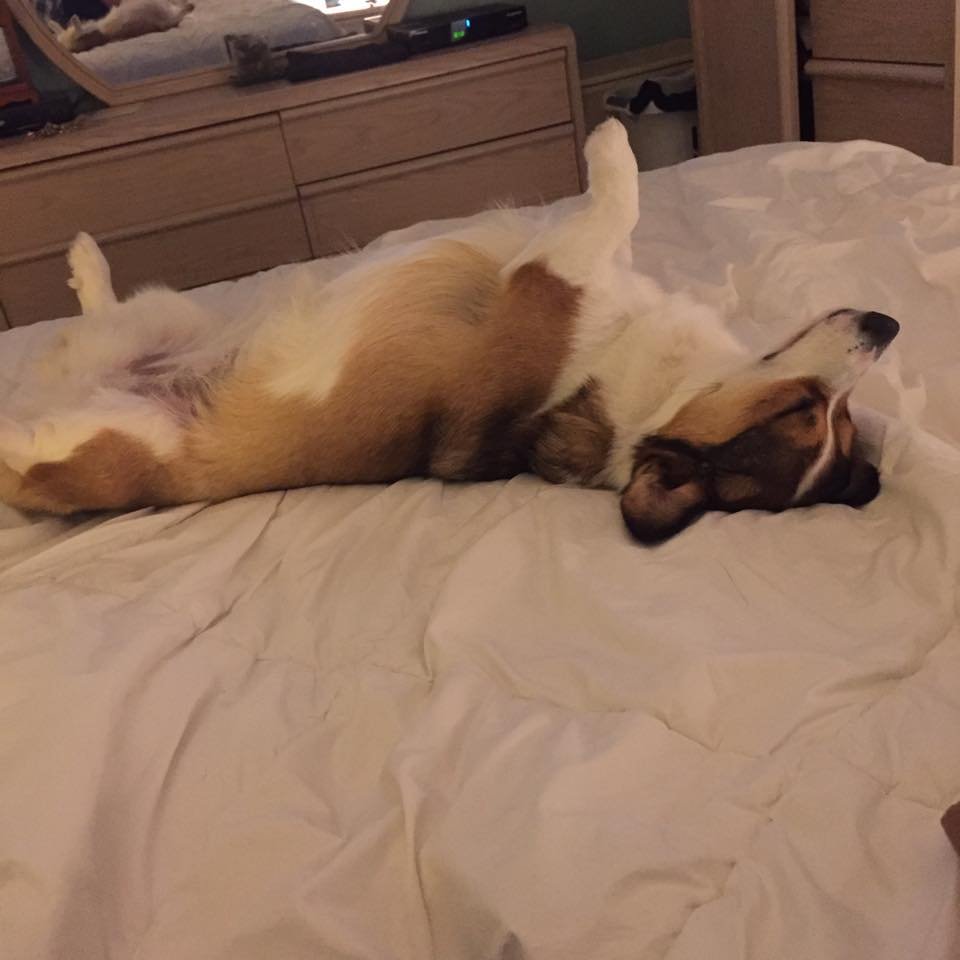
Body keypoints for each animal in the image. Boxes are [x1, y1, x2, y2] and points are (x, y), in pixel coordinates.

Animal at [0, 119, 900, 540]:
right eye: (821, 413)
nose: (888, 323)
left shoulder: (550, 277)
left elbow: (617, 198)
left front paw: (609, 141)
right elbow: (618, 214)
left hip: (108, 438)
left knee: (34, 434)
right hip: (174, 314)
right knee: (105, 312)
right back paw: (85, 265)